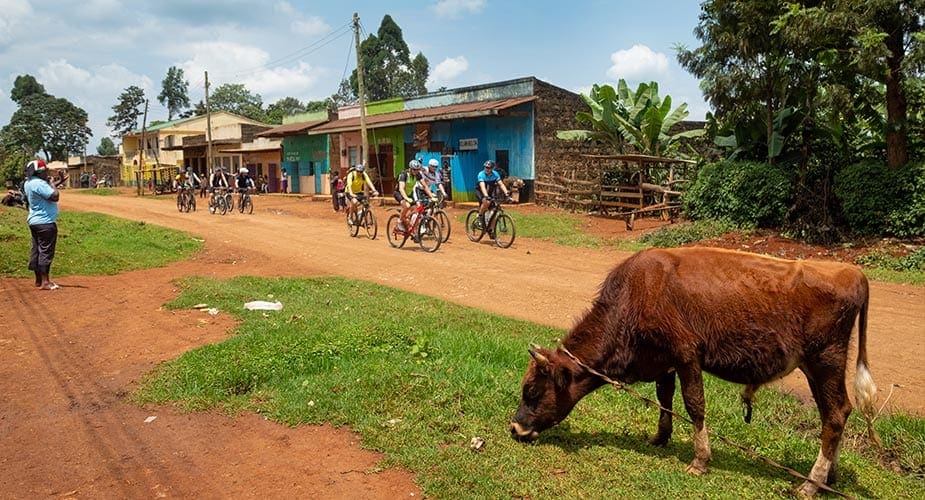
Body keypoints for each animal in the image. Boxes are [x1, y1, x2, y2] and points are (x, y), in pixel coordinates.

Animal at [508, 248, 876, 494]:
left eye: (532, 391)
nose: (515, 428)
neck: (638, 293)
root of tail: (853, 273)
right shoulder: (663, 359)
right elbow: (664, 398)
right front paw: (660, 438)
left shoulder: (687, 354)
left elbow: (694, 405)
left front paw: (700, 460)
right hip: (817, 368)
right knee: (837, 412)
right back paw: (829, 477)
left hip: (825, 360)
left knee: (834, 416)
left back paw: (811, 484)